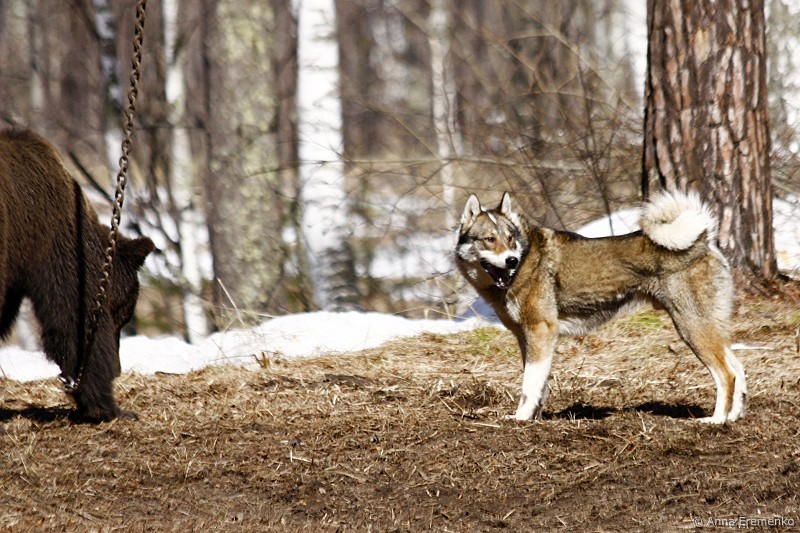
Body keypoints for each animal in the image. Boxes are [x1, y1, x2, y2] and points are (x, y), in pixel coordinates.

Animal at [455, 190, 746, 424]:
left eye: (509, 238)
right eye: (489, 239)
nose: (511, 260)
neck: (526, 259)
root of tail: (704, 240)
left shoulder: (541, 330)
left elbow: (529, 386)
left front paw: (520, 418)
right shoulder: (528, 339)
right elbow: (538, 384)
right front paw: (535, 417)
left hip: (691, 327)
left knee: (726, 376)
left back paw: (716, 420)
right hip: (706, 329)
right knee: (738, 369)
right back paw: (734, 417)